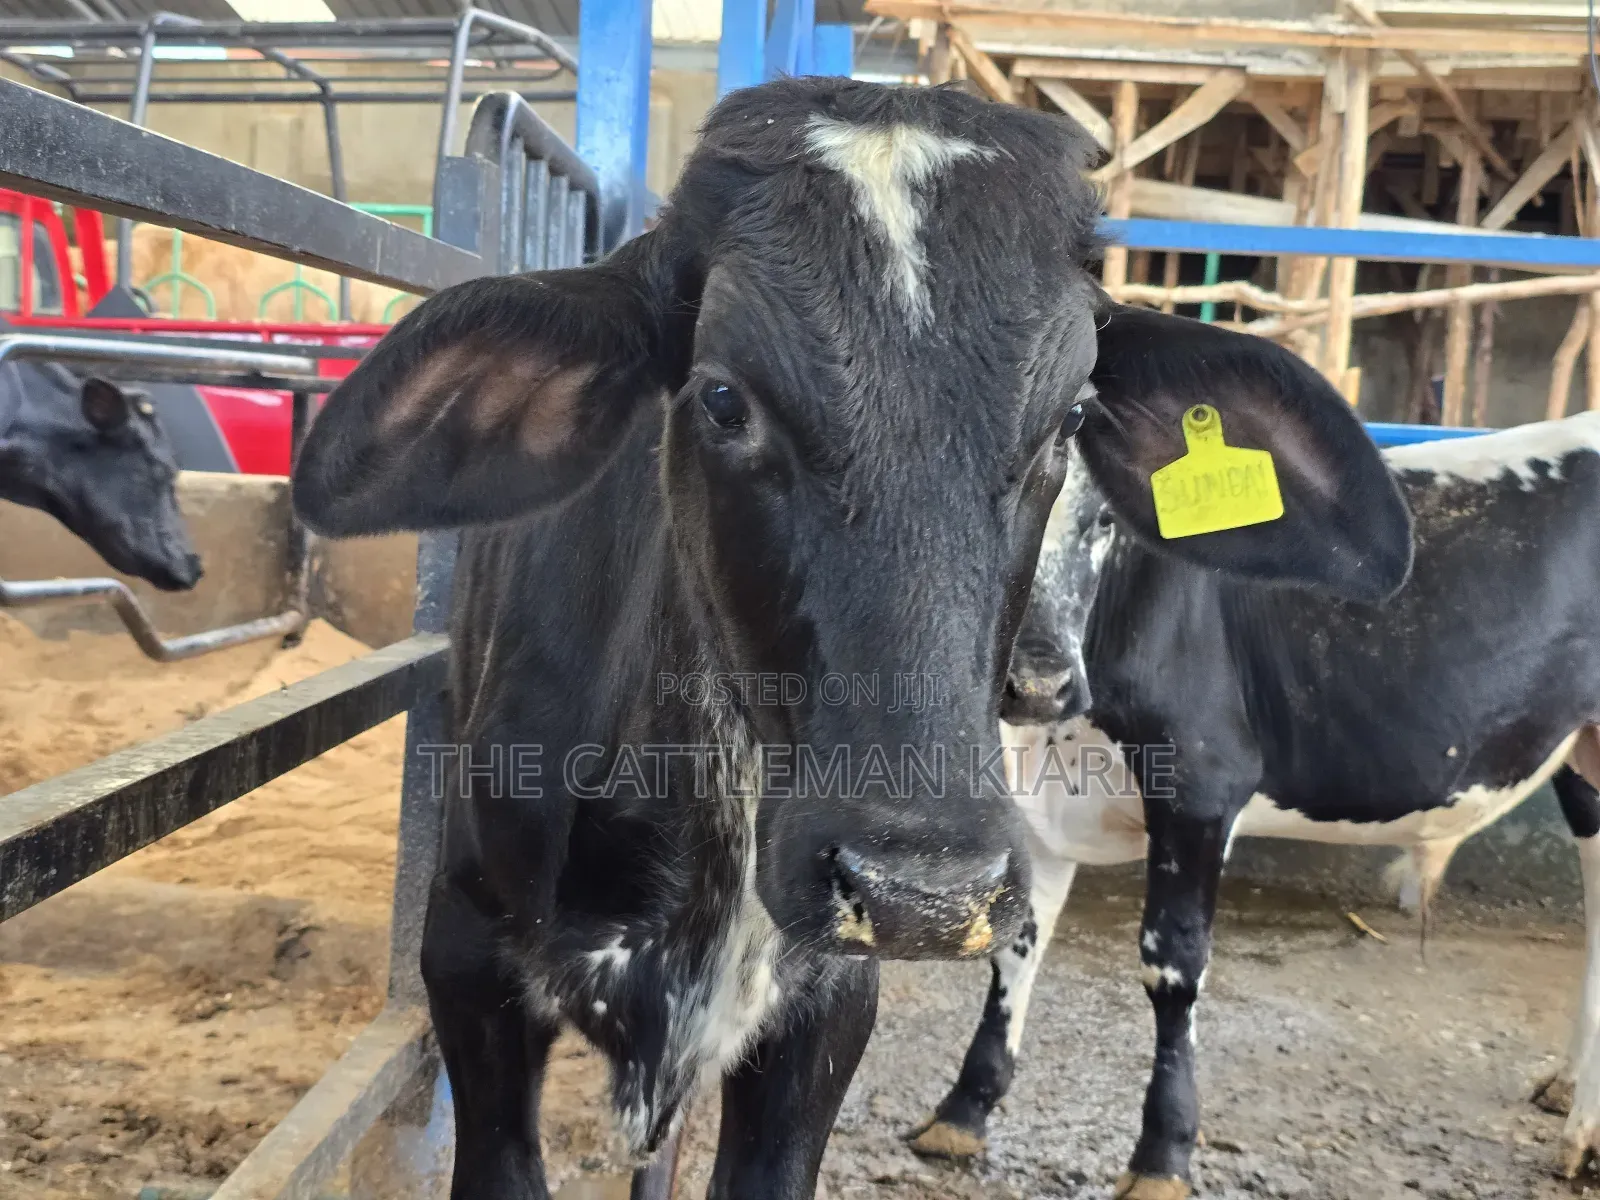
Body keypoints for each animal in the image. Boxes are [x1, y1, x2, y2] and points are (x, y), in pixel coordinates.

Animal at [909, 407, 1600, 1195]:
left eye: (1104, 519)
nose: (1036, 682)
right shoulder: (1042, 807)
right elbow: (1014, 950)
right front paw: (962, 1111)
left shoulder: (1202, 786)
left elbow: (1171, 970)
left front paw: (1162, 1155)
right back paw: (1565, 1091)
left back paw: (1583, 1132)